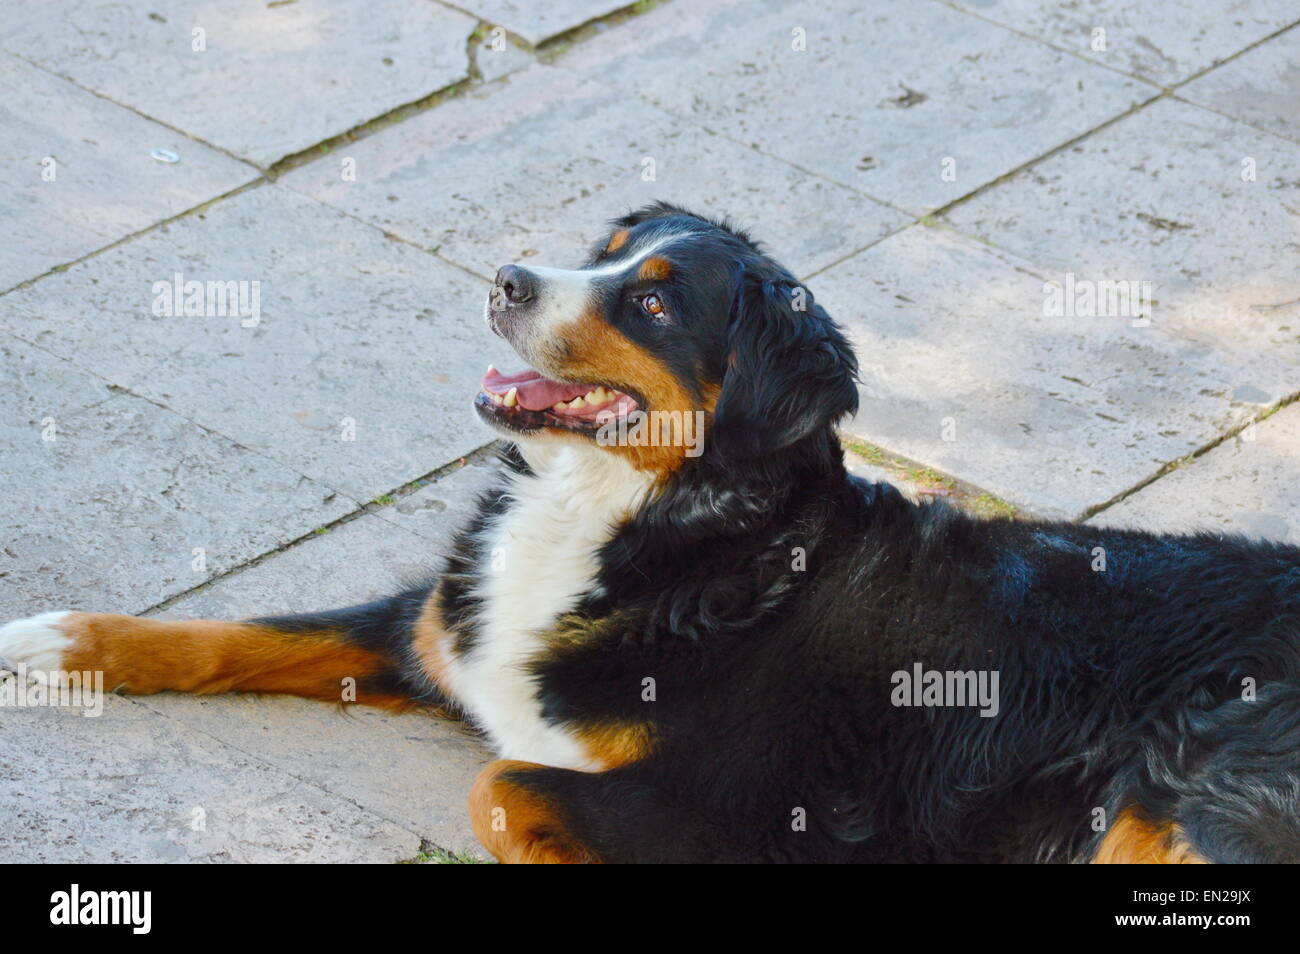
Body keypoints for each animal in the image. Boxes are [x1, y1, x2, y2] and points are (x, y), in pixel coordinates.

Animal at [2, 204, 1300, 868]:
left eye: (655, 300)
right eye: (605, 247)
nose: (506, 276)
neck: (648, 531)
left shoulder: (730, 816)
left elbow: (499, 791)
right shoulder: (441, 631)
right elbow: (237, 632)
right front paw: (57, 644)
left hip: (1179, 797)